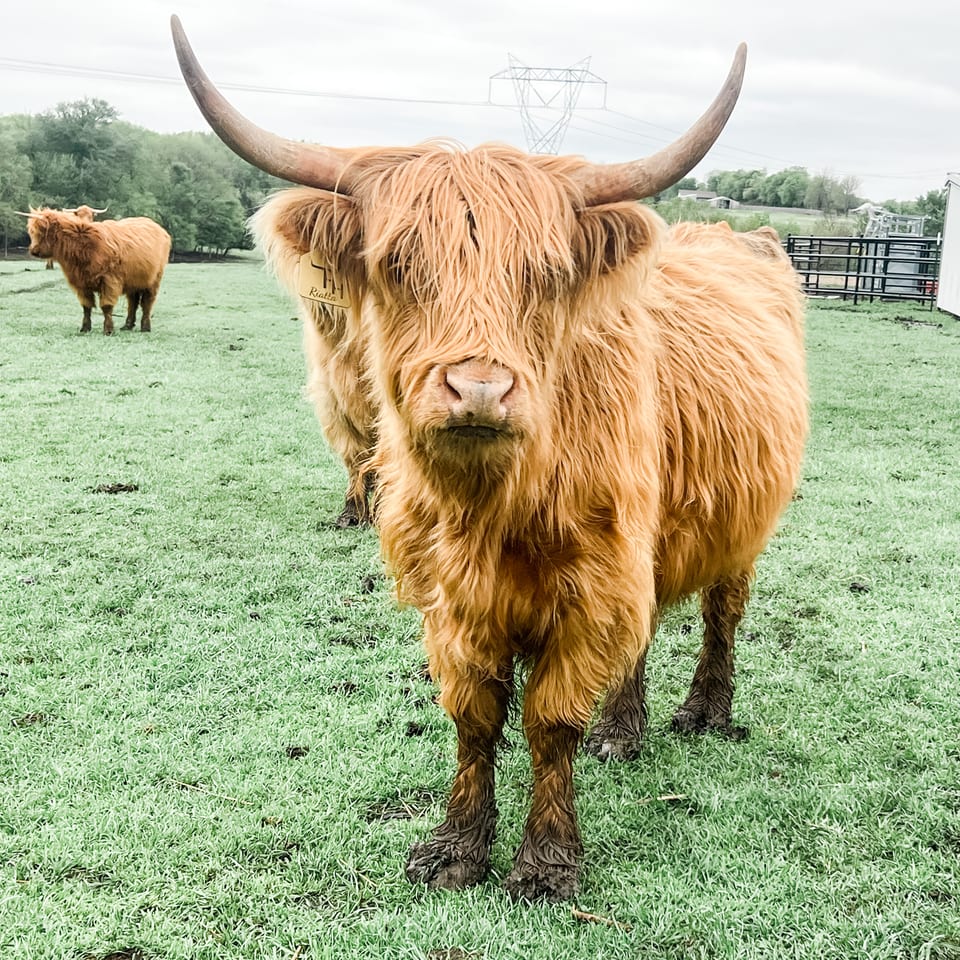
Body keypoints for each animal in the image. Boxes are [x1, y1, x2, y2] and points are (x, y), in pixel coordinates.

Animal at [22, 208, 171, 334]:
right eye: (31, 232)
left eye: (41, 231)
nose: (33, 251)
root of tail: (158, 227)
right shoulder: (81, 283)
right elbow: (86, 307)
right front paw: (85, 328)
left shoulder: (110, 281)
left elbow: (106, 306)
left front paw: (108, 330)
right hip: (133, 280)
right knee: (132, 302)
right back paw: (127, 325)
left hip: (154, 279)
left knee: (147, 302)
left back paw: (145, 327)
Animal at [172, 17, 808, 901]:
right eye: (398, 264)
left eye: (544, 274)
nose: (478, 389)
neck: (491, 506)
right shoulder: (451, 597)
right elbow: (474, 716)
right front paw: (456, 848)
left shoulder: (589, 586)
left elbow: (549, 719)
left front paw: (545, 863)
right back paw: (625, 729)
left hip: (740, 523)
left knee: (723, 612)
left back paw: (703, 711)